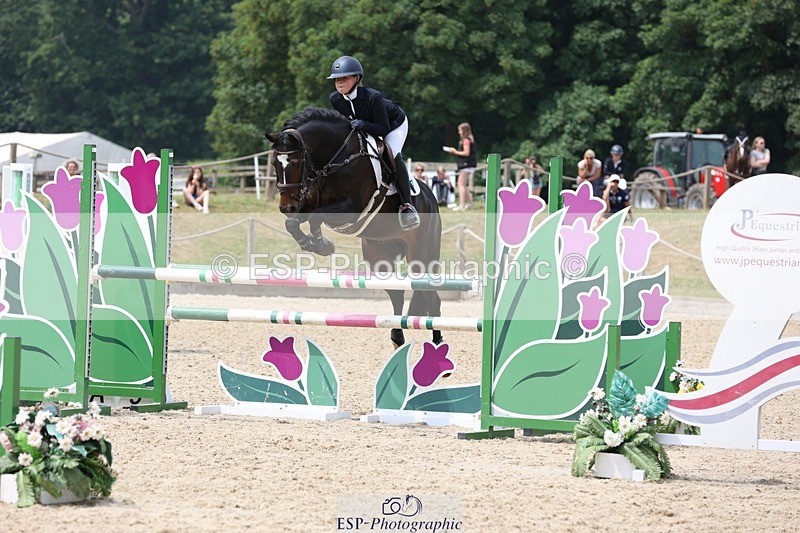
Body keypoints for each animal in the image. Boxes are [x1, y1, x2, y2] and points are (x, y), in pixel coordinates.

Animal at [265, 108, 444, 347]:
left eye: (295, 163)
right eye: (275, 164)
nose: (287, 207)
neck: (335, 160)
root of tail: (430, 197)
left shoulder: (351, 208)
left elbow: (315, 218)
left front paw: (321, 244)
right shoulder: (308, 203)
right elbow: (293, 223)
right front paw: (314, 244)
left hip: (422, 255)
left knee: (431, 298)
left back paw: (438, 345)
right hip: (380, 255)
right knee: (397, 294)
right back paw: (397, 338)